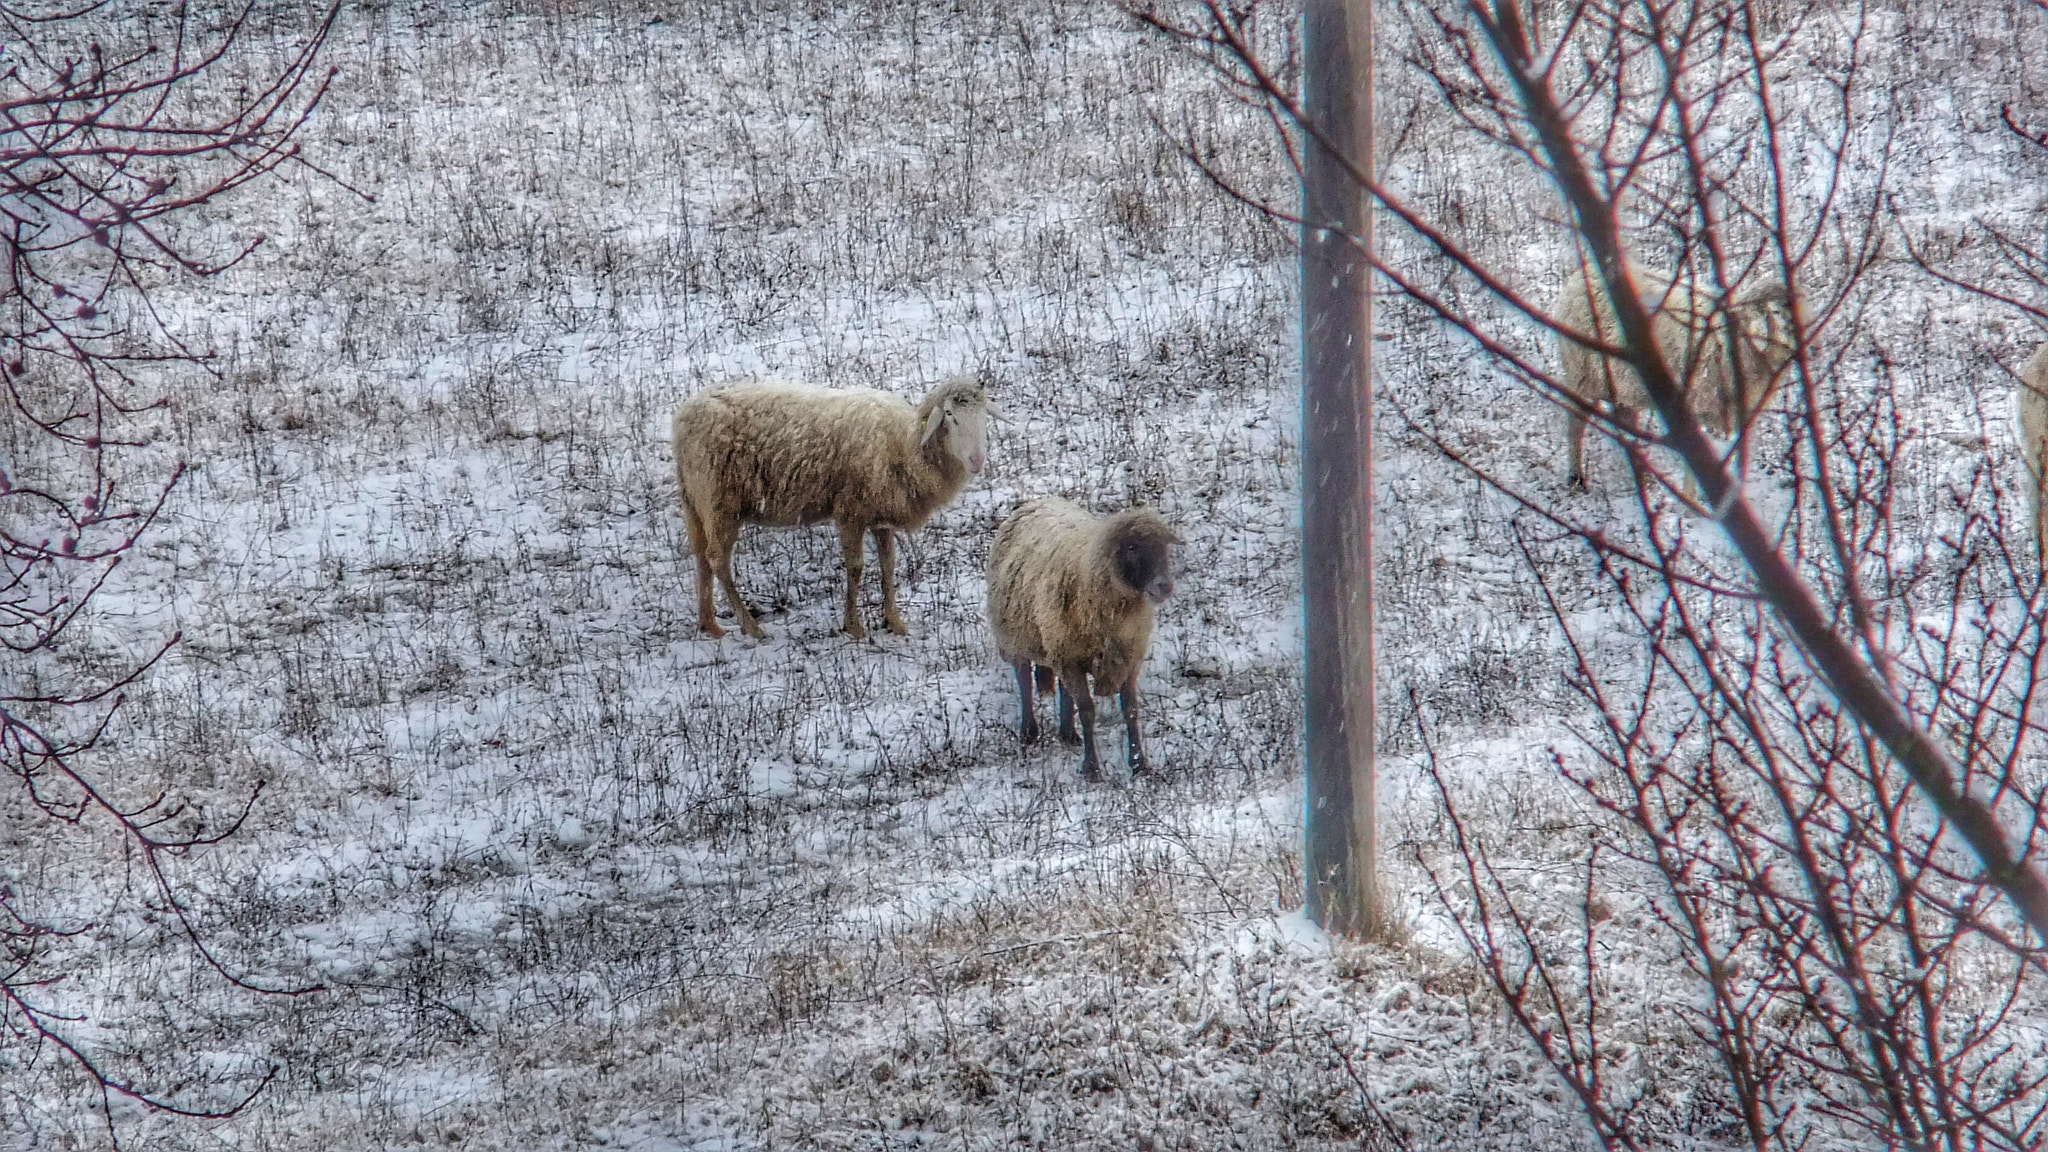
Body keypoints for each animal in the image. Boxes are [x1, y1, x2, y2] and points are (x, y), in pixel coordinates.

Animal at [667, 373, 995, 635]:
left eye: (984, 414)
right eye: (949, 414)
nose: (977, 460)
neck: (906, 444)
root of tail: (683, 416)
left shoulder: (880, 514)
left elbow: (888, 566)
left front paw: (895, 623)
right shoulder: (850, 510)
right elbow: (856, 567)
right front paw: (854, 627)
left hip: (694, 500)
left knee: (701, 557)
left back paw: (709, 624)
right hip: (719, 501)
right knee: (717, 559)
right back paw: (752, 628)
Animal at [987, 496, 1187, 774]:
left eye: (1164, 547)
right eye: (1131, 547)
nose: (1164, 586)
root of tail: (1038, 500)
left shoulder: (1128, 657)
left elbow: (1131, 710)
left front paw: (1139, 763)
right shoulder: (1072, 659)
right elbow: (1087, 711)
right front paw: (1092, 768)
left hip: (1058, 643)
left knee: (1062, 687)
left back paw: (1068, 733)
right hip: (1018, 635)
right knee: (1024, 678)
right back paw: (1029, 732)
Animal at [1548, 258, 1794, 485]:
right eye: (1774, 311)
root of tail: (1582, 272)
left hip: (1622, 387)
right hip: (1580, 375)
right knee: (1576, 425)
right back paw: (1576, 477)